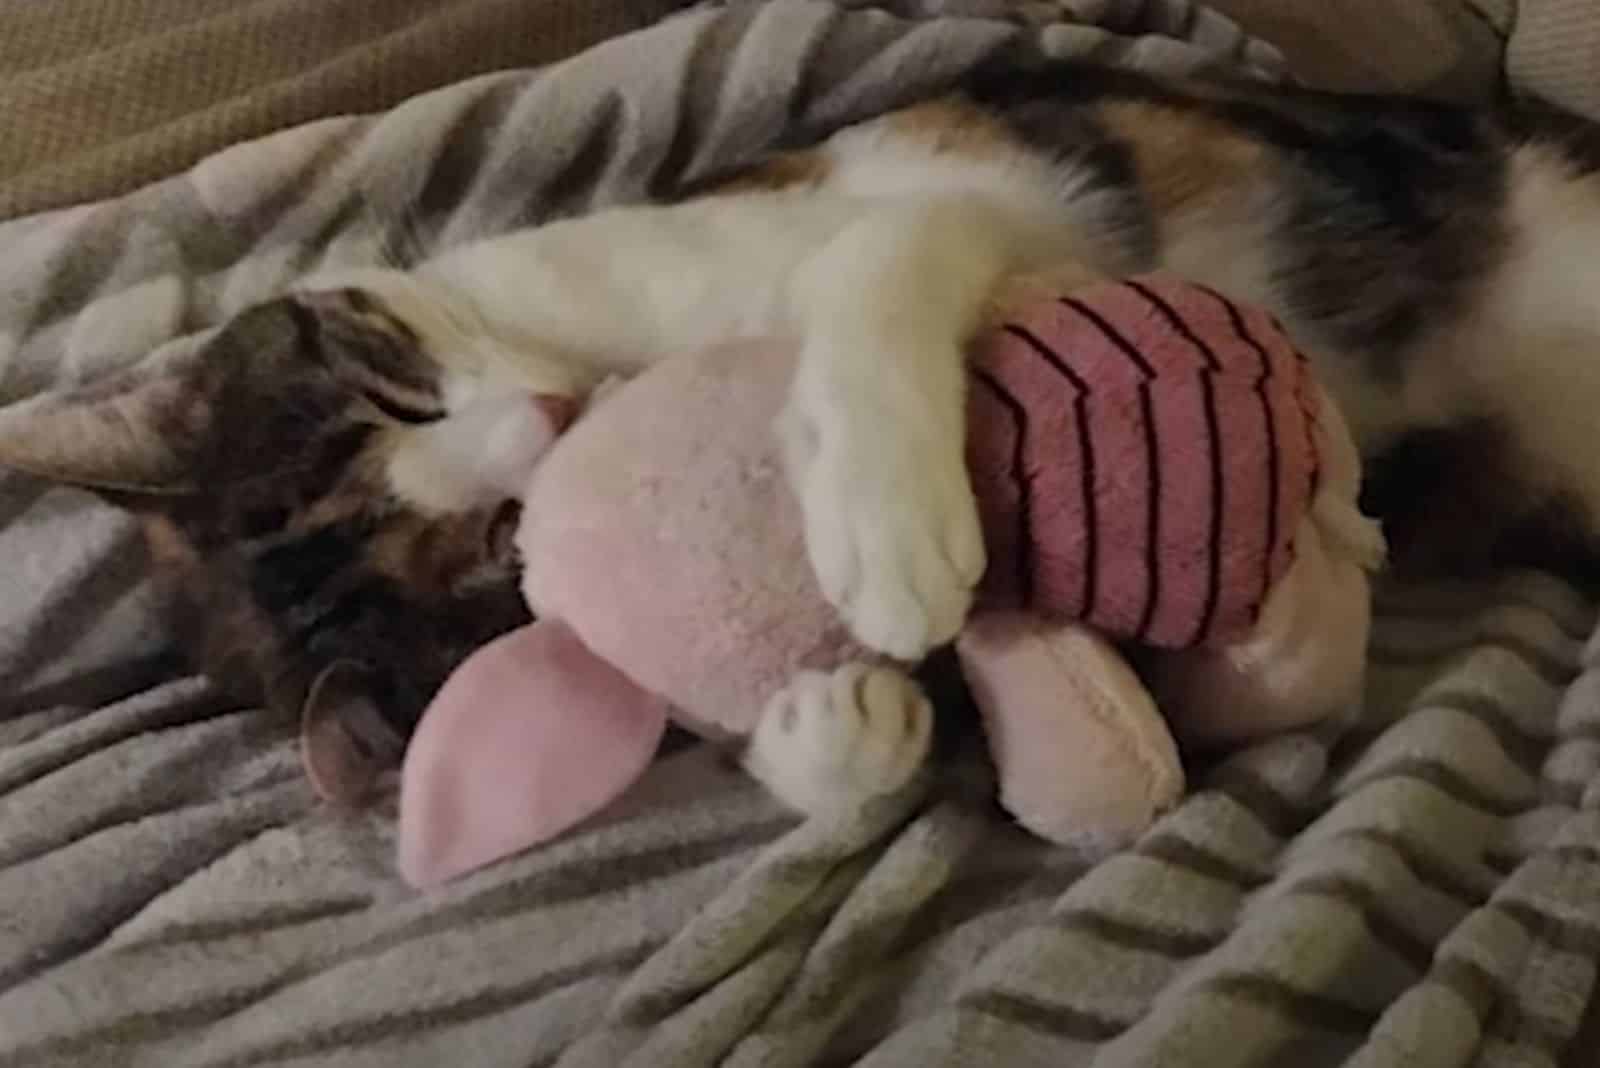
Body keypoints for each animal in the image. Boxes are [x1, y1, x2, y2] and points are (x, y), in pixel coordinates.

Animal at [9, 60, 1600, 818]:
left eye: (392, 386)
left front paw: (885, 536)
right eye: (495, 546)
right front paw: (833, 732)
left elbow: (868, 264)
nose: (543, 421)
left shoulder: (954, 200)